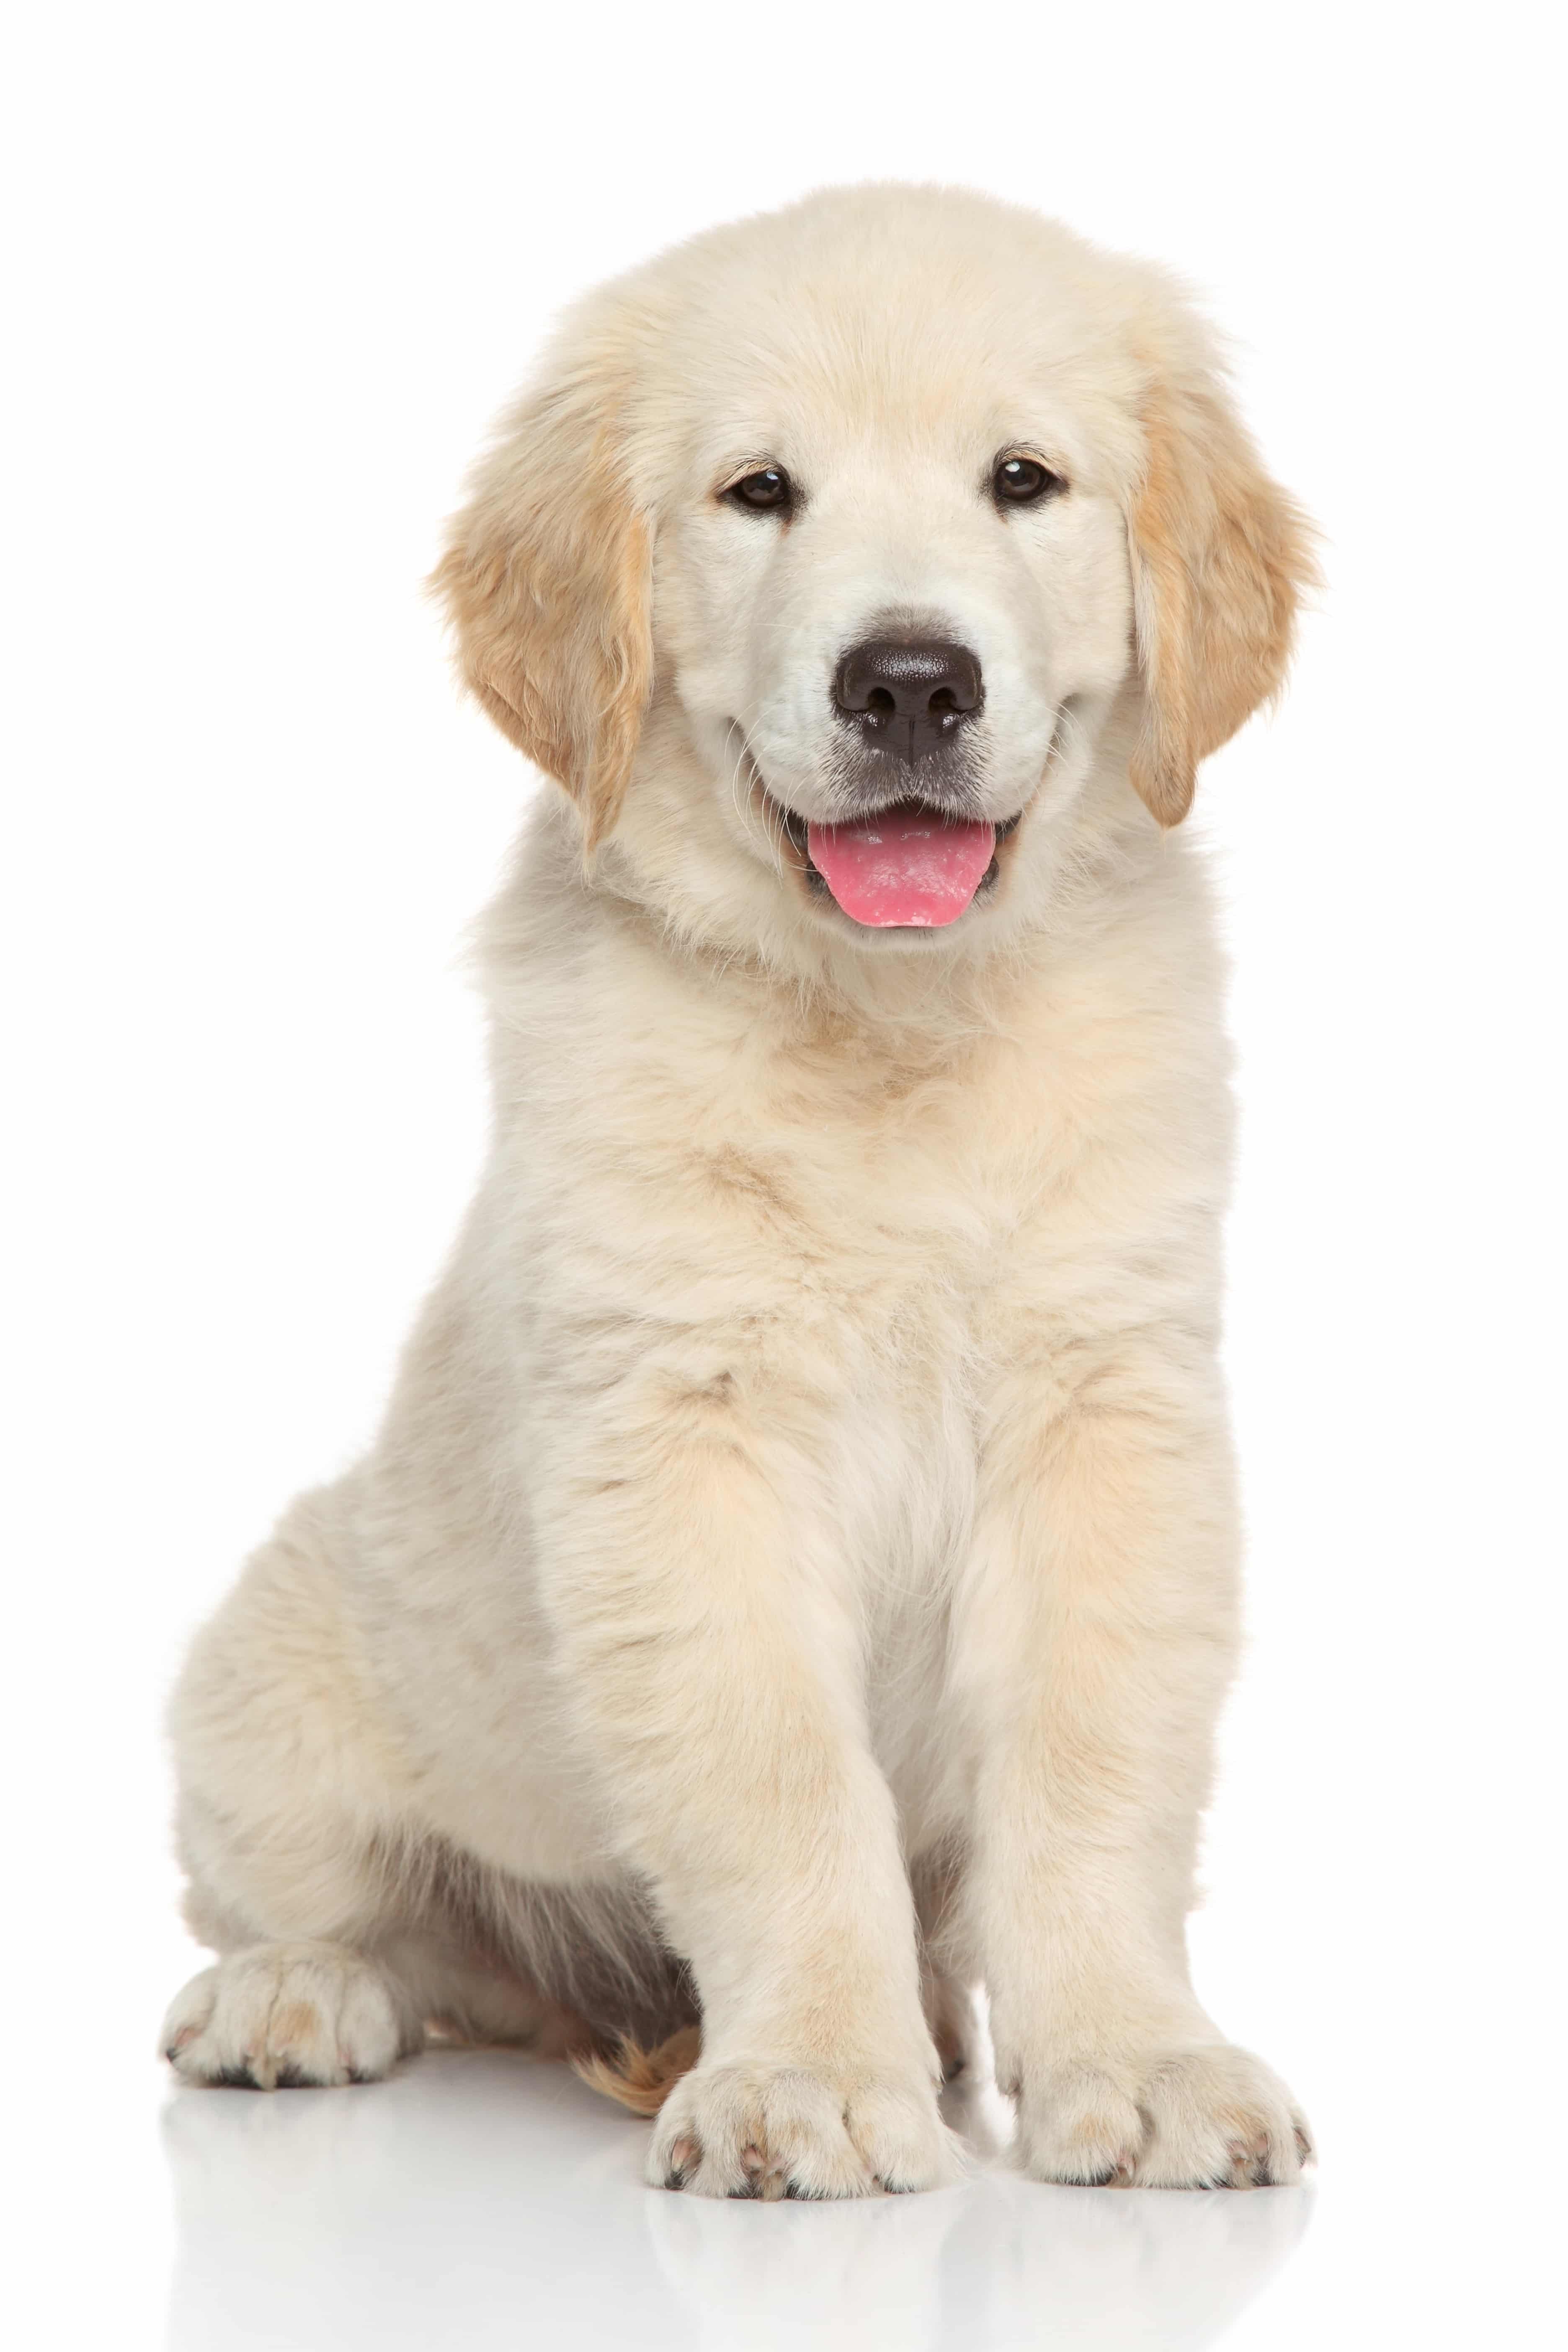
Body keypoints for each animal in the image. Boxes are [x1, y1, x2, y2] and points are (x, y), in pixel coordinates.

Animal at [160, 183, 1316, 2201]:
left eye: (1025, 480)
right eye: (758, 491)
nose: (911, 680)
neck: (891, 1032)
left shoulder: (1110, 1410)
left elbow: (1093, 1762)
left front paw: (1139, 2054)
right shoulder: (685, 1434)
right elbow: (781, 1779)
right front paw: (809, 2080)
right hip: (273, 1673)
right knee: (335, 1911)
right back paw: (297, 1993)